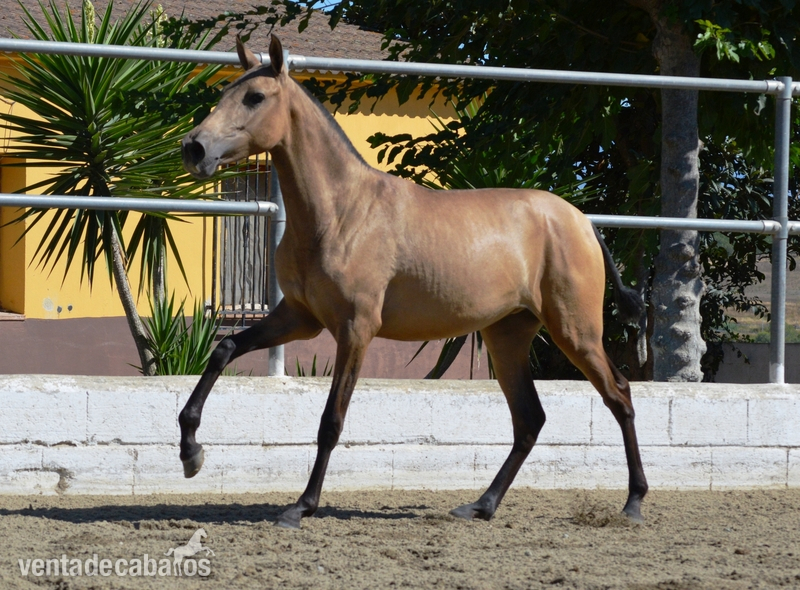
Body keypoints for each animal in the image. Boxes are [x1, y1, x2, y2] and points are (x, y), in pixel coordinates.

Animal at [180, 35, 648, 529]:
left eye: (255, 97)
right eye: (224, 92)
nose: (194, 149)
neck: (342, 213)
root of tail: (582, 221)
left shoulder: (355, 330)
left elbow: (331, 421)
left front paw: (301, 506)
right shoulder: (300, 318)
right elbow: (224, 349)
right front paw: (191, 454)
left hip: (575, 332)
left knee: (619, 396)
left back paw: (633, 503)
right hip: (507, 336)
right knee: (529, 420)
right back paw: (481, 505)